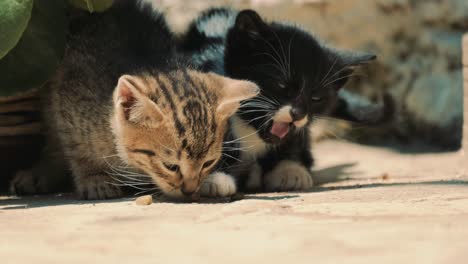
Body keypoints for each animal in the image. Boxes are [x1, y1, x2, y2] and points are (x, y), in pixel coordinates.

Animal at [10, 0, 260, 200]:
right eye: (170, 166)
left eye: (208, 163)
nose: (189, 191)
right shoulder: (67, 102)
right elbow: (75, 149)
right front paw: (94, 177)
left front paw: (214, 180)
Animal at [179, 7, 380, 192]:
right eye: (281, 85)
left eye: (316, 97)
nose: (298, 113)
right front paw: (211, 177)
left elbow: (296, 140)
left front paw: (290, 170)